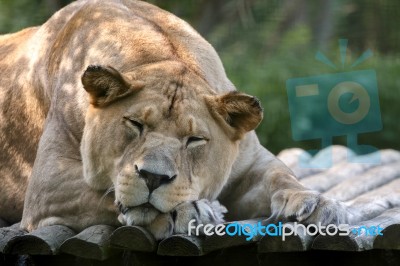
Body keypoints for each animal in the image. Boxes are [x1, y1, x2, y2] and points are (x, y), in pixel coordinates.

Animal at [0, 0, 360, 238]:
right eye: (135, 124)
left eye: (195, 140)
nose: (153, 177)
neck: (162, 53)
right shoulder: (48, 186)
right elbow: (107, 194)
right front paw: (190, 210)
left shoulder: (251, 162)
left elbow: (282, 177)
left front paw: (318, 204)